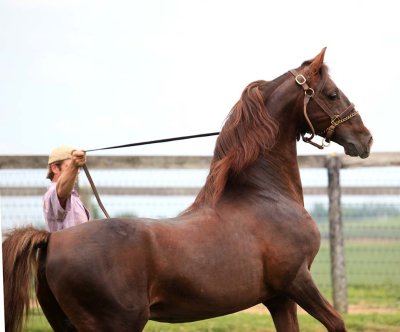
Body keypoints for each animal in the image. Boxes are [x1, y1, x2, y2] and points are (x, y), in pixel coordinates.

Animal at [3, 47, 372, 332]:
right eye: (332, 94)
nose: (365, 139)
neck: (265, 197)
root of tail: (52, 240)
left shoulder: (278, 298)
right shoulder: (297, 280)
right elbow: (337, 322)